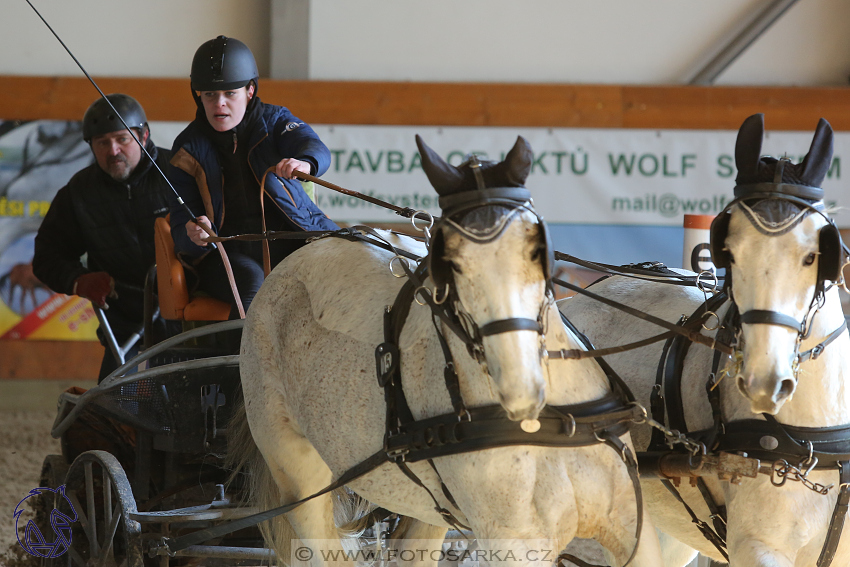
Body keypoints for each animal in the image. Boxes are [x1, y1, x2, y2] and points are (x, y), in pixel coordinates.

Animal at [232, 136, 664, 567]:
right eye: (451, 263)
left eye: (536, 246)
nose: (520, 386)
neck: (555, 422)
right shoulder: (516, 543)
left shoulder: (633, 526)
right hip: (299, 479)